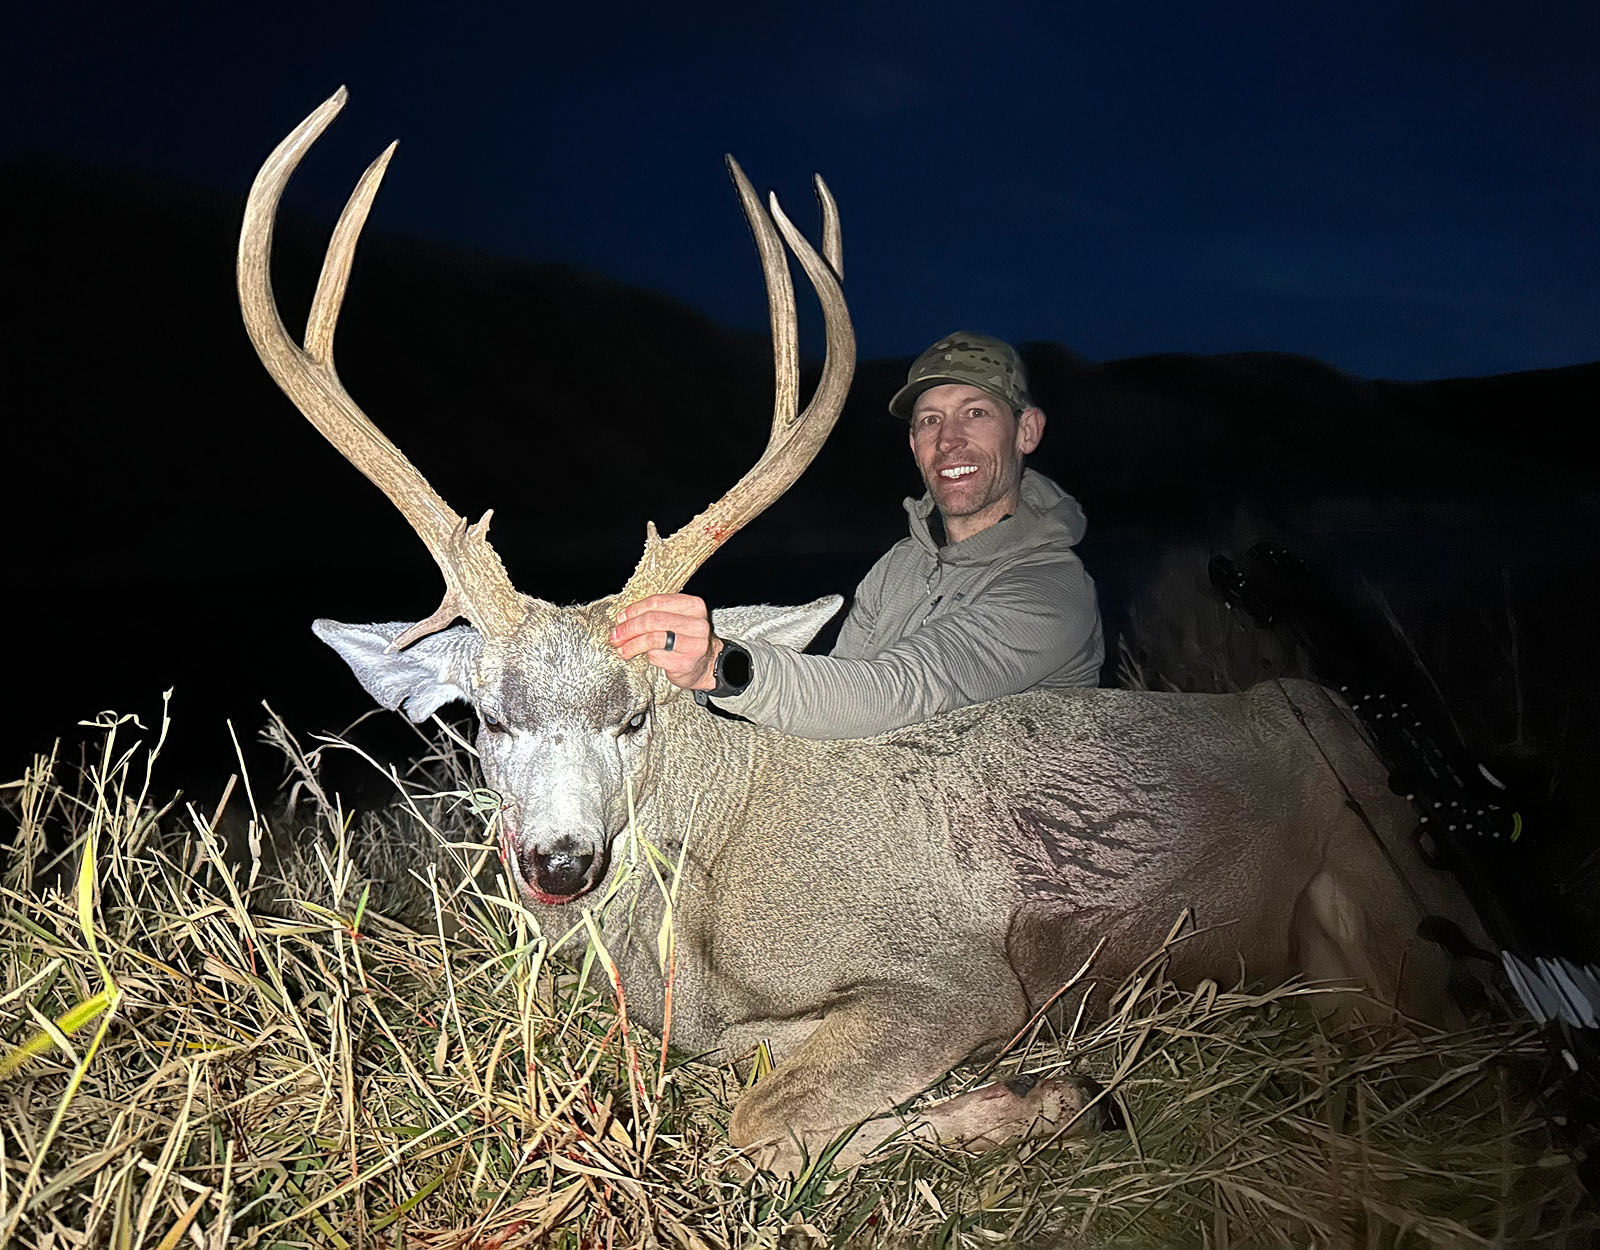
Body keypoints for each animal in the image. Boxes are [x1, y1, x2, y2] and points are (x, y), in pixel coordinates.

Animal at [238, 90, 1481, 1175]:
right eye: (487, 720)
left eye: (637, 718)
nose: (560, 860)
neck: (700, 904)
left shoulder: (955, 974)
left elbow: (755, 1123)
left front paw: (1050, 1096)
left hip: (1387, 904)